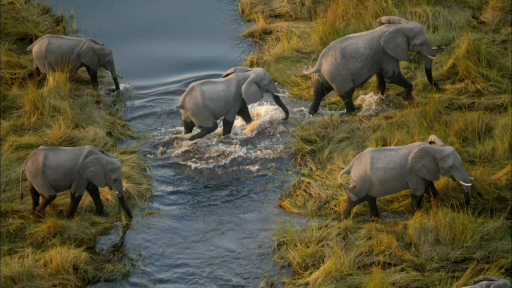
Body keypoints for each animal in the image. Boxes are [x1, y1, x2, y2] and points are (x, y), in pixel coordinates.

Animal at [304, 15, 440, 115]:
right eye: (420, 44)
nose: (439, 88)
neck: (400, 27)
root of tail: (319, 63)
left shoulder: (381, 57)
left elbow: (381, 78)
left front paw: (380, 99)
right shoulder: (387, 54)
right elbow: (391, 77)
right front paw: (408, 98)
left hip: (327, 73)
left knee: (319, 89)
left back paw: (311, 113)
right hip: (338, 75)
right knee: (346, 93)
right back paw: (354, 113)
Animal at [338, 135, 474, 218]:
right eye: (451, 167)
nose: (459, 206)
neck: (433, 149)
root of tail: (350, 165)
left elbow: (430, 189)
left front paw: (442, 203)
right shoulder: (414, 174)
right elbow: (418, 193)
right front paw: (415, 217)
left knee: (370, 198)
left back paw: (375, 219)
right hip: (360, 181)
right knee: (355, 198)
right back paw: (344, 219)